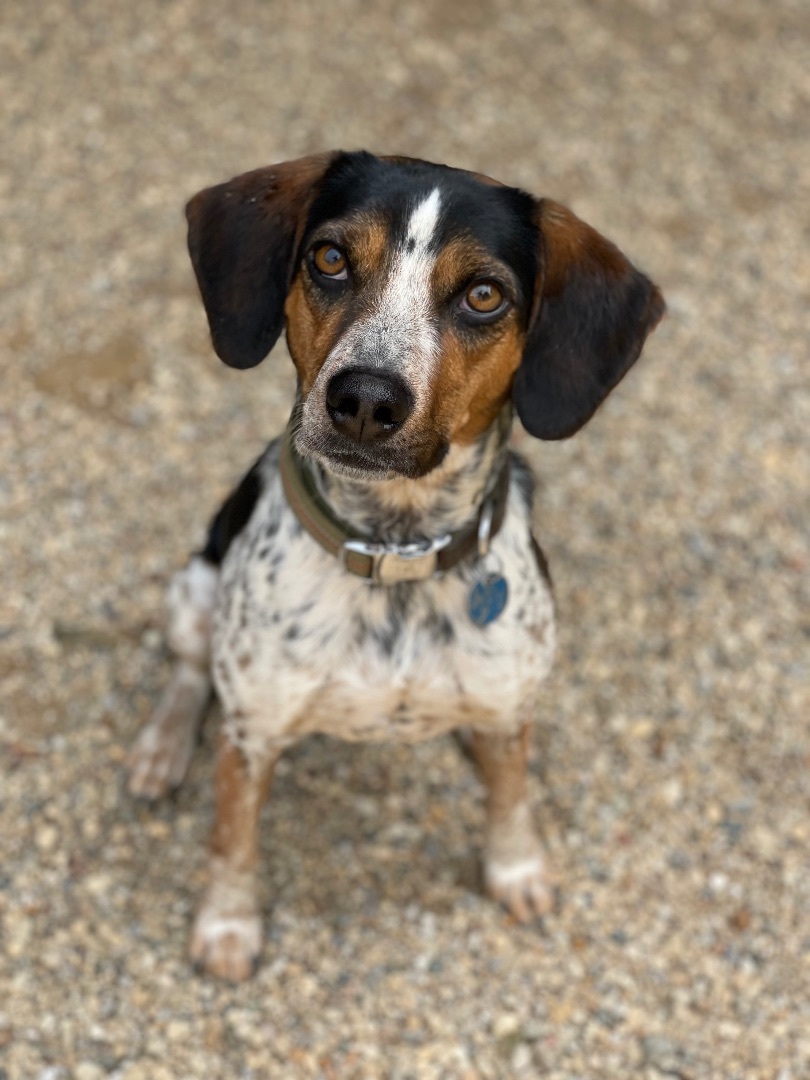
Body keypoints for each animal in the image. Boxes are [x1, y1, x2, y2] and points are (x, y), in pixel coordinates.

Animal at [126, 152, 665, 980]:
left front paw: (517, 868)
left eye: (484, 294)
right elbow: (232, 834)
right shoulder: (253, 733)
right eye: (329, 258)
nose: (364, 399)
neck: (396, 549)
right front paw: (227, 922)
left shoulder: (508, 702)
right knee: (189, 672)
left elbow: (511, 794)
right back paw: (162, 748)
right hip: (193, 589)